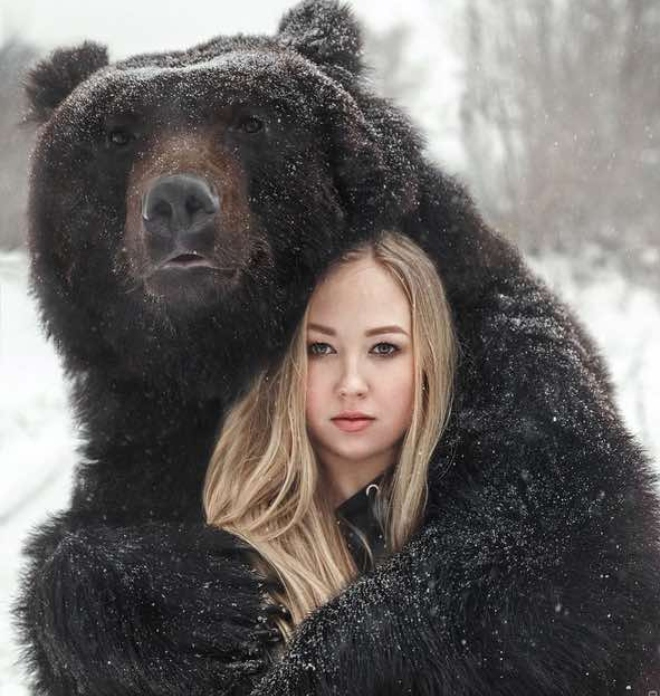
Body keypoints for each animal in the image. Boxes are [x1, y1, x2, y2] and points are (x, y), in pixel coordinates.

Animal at [15, 1, 660, 695]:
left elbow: (552, 542)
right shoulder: (148, 429)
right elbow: (78, 559)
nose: (177, 203)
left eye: (251, 120)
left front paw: (301, 663)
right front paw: (202, 601)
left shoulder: (494, 354)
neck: (225, 351)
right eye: (117, 134)